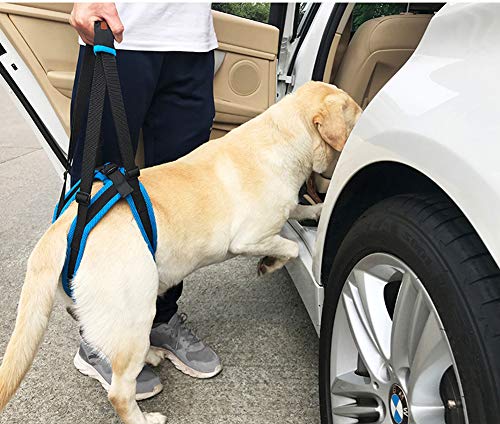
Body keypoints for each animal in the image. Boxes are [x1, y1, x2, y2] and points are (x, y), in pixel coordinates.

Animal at [0, 81, 362, 422]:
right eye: (358, 113)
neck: (283, 134)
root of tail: (60, 230)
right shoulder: (249, 237)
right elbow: (290, 245)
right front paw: (270, 262)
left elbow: (297, 211)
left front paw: (317, 211)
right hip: (134, 307)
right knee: (119, 391)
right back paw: (145, 417)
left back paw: (151, 355)